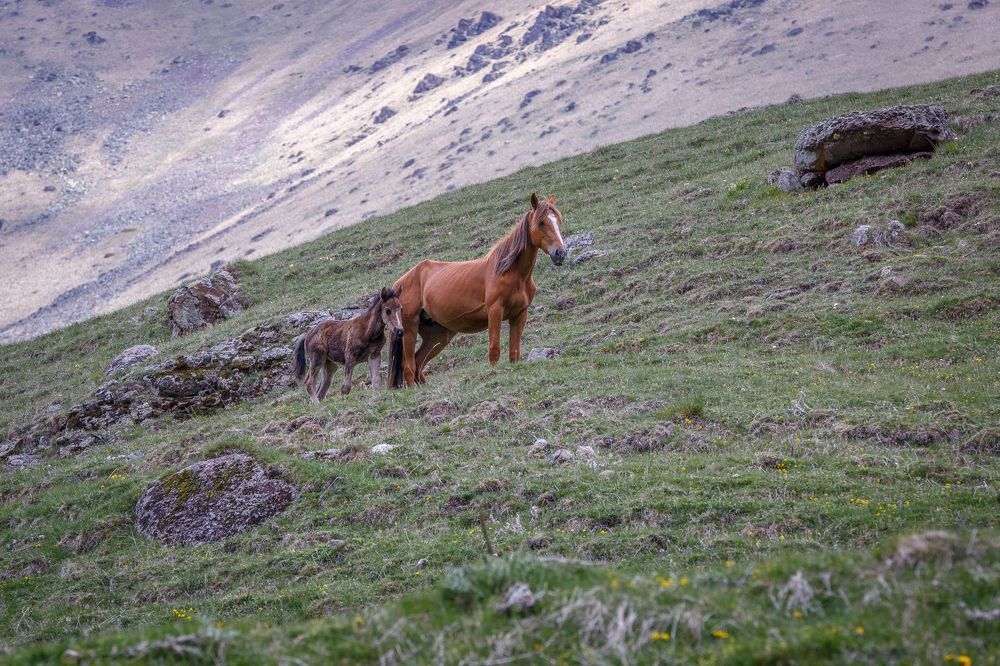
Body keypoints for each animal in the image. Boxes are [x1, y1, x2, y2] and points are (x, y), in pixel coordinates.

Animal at [388, 193, 567, 388]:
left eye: (558, 220)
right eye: (541, 222)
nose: (560, 253)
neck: (511, 273)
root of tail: (398, 285)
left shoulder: (520, 314)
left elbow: (514, 352)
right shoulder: (495, 311)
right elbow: (494, 350)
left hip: (438, 335)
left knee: (418, 362)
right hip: (409, 329)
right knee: (408, 366)